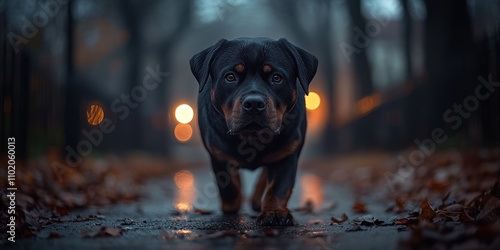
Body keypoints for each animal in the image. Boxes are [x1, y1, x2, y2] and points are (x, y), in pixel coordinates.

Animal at [189, 37, 318, 227]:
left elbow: (279, 187)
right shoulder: (218, 154)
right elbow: (229, 188)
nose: (254, 103)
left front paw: (274, 212)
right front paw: (233, 206)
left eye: (277, 78)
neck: (251, 137)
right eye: (230, 77)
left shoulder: (287, 153)